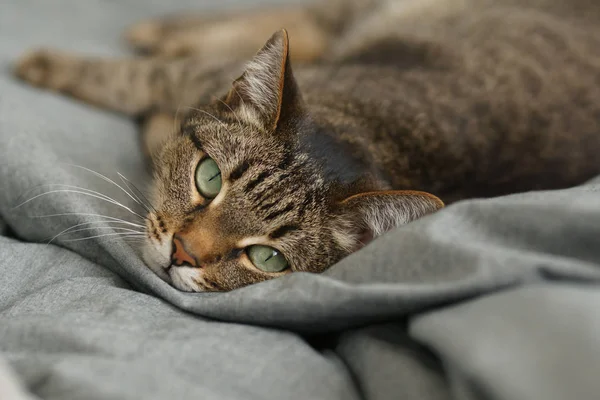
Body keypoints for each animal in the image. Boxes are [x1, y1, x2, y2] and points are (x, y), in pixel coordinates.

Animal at [12, 0, 600, 294]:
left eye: (267, 257)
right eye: (209, 178)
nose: (183, 254)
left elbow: (148, 101)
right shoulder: (192, 78)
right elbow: (134, 78)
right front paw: (45, 64)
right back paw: (163, 29)